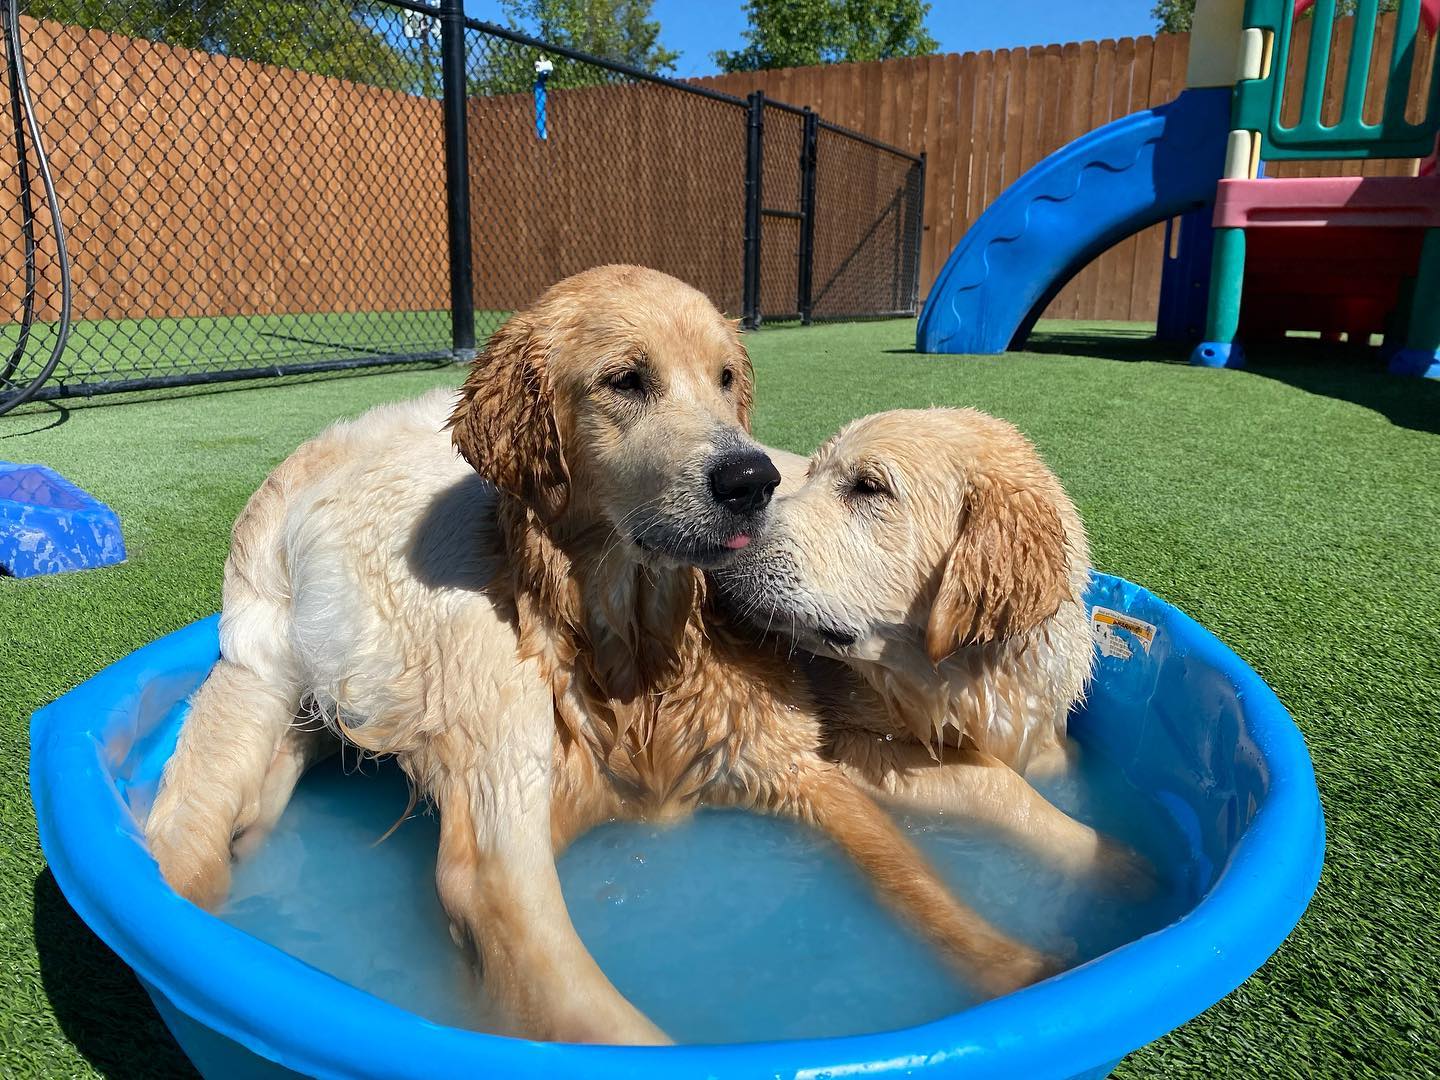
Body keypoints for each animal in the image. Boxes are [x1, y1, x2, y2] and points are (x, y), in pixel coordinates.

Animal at [154, 266, 1123, 1054]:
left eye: (728, 379)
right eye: (626, 381)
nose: (753, 481)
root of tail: (296, 486)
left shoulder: (805, 766)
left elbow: (922, 869)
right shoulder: (849, 747)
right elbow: (986, 795)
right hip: (487, 665)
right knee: (499, 896)